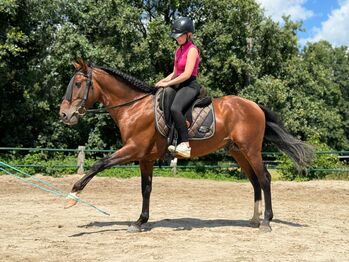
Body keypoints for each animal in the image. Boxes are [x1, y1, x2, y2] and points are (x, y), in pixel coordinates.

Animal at [58, 59, 312, 231]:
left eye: (78, 83)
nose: (64, 115)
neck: (134, 108)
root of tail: (255, 106)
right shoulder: (145, 158)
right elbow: (146, 189)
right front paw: (140, 221)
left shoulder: (133, 150)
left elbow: (99, 164)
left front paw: (72, 195)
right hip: (239, 153)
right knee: (255, 181)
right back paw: (254, 219)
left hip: (251, 150)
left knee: (265, 179)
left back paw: (266, 221)